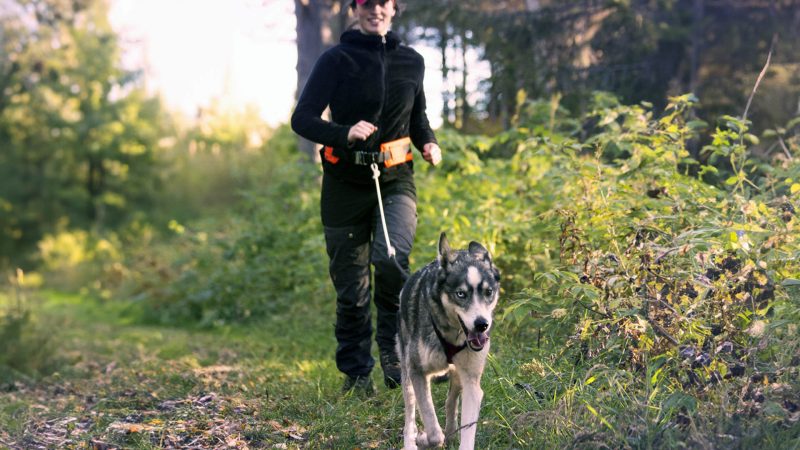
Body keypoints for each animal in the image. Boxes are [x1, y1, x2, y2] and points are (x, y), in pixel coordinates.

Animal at [398, 234, 504, 448]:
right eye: (460, 294)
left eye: (488, 292)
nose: (482, 324)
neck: (451, 334)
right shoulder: (417, 372)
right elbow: (432, 428)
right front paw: (425, 439)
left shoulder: (471, 384)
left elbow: (467, 429)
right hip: (407, 372)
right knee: (410, 414)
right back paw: (411, 442)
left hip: (457, 375)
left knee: (450, 401)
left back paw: (451, 432)